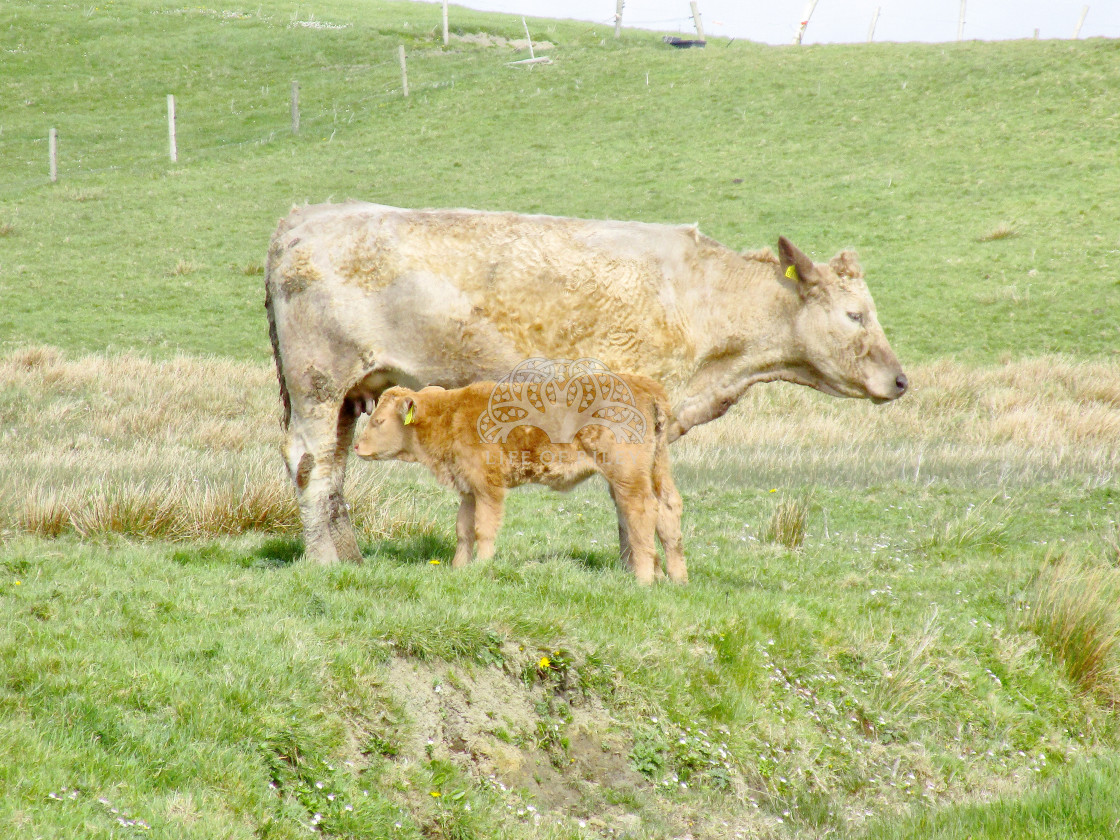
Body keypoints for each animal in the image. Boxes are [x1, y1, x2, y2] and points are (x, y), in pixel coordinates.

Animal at [266, 203, 904, 566]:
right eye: (855, 315)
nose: (900, 380)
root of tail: (306, 215)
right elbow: (631, 501)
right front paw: (632, 566)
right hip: (318, 382)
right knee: (311, 464)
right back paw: (327, 562)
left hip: (350, 392)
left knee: (336, 467)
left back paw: (351, 556)